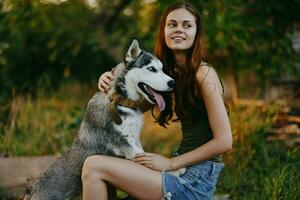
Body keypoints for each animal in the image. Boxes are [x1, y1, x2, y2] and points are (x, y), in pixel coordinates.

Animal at [24, 39, 175, 199]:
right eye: (151, 68)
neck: (119, 100)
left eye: (162, 69)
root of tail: (31, 189)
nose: (172, 82)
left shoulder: (136, 141)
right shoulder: (124, 143)